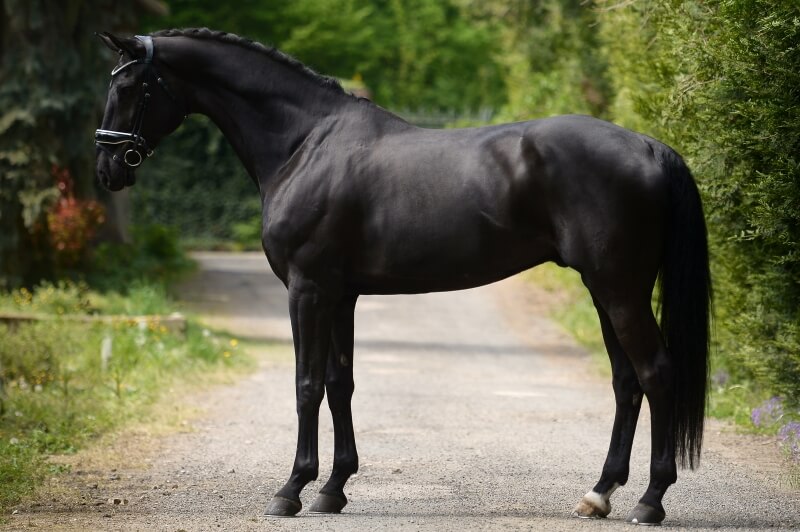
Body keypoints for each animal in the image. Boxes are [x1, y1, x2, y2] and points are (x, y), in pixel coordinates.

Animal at [94, 29, 711, 525]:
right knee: (627, 383)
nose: (106, 170)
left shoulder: (307, 291)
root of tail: (652, 147)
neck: (305, 143)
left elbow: (305, 385)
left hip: (620, 289)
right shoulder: (340, 295)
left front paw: (291, 490)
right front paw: (333, 490)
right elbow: (339, 384)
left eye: (130, 88)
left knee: (656, 374)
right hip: (605, 291)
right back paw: (598, 494)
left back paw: (650, 501)